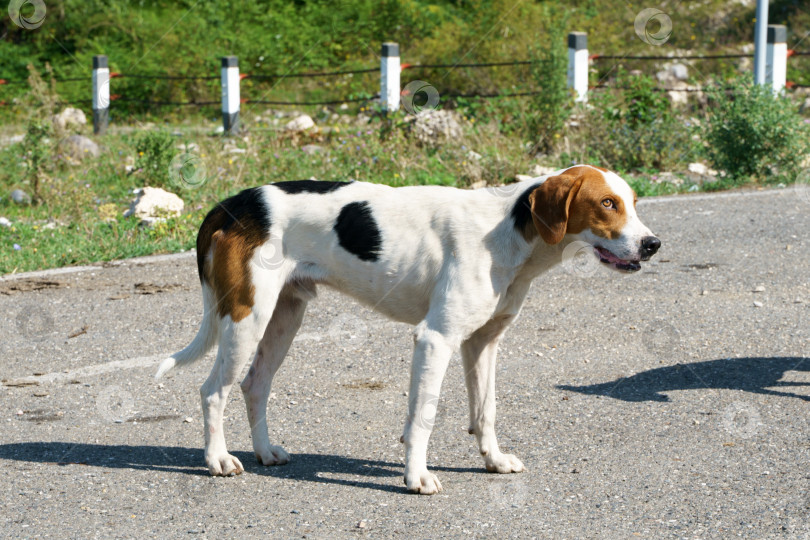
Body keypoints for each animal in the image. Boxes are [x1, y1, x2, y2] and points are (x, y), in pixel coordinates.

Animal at [156, 163, 656, 494]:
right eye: (606, 204)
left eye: (633, 204)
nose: (653, 244)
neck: (510, 231)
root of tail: (231, 204)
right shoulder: (435, 340)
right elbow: (422, 418)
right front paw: (416, 477)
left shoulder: (483, 343)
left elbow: (485, 412)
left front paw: (492, 460)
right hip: (247, 319)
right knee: (213, 391)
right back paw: (218, 460)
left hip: (283, 317)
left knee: (254, 386)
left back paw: (264, 452)